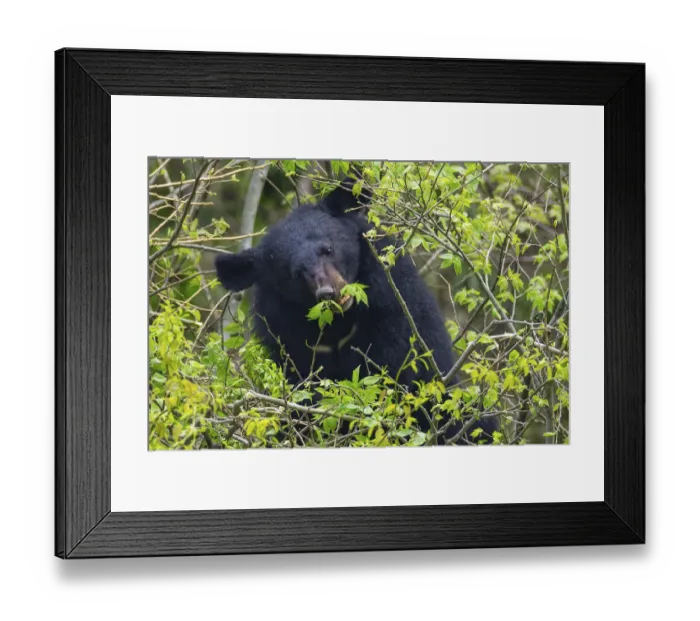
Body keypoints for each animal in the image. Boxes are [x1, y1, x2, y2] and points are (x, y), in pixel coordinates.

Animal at [215, 177, 496, 444]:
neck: (340, 325)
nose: (329, 293)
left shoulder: (395, 314)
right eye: (296, 273)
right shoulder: (291, 344)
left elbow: (402, 367)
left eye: (328, 249)